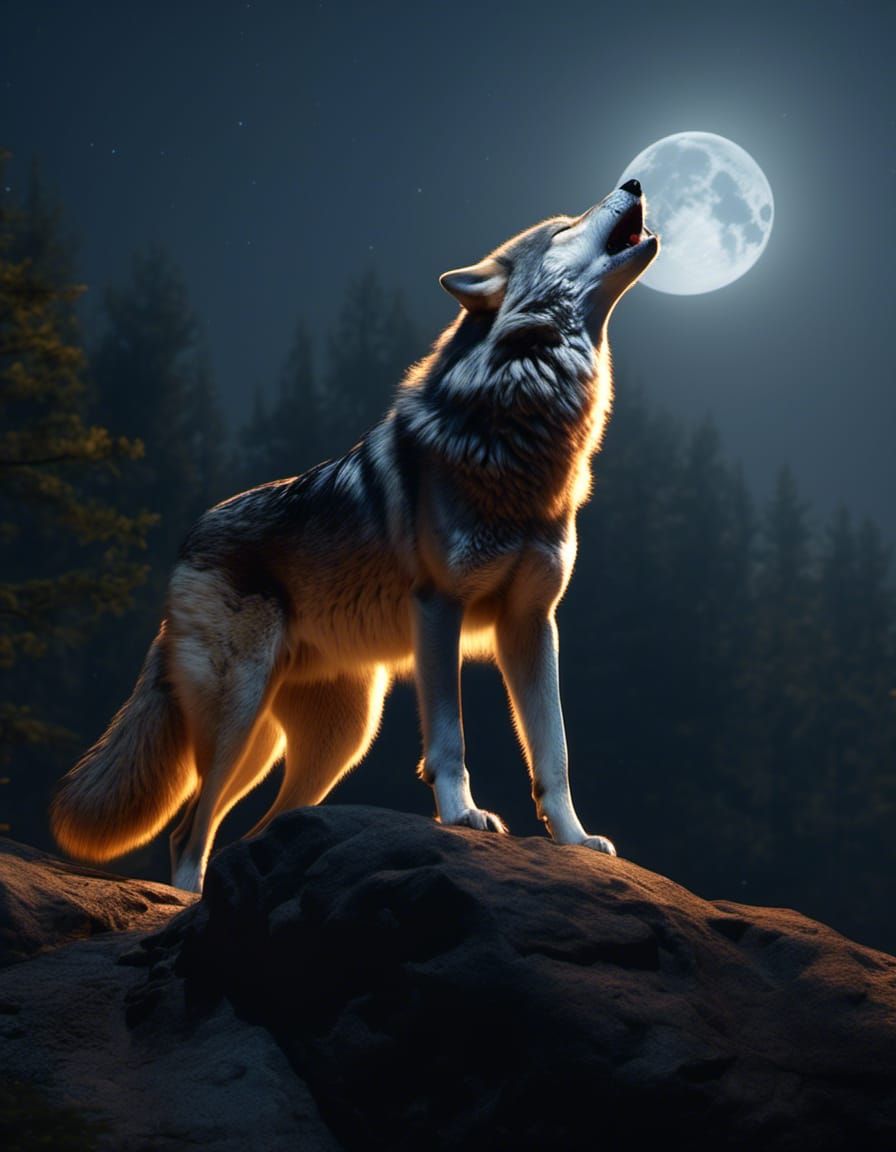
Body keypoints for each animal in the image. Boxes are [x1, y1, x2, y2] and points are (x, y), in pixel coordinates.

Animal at [51, 179, 659, 892]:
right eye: (566, 225)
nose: (634, 182)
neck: (522, 418)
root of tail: (188, 544)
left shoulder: (532, 622)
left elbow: (553, 752)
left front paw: (574, 842)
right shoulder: (440, 608)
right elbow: (449, 739)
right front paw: (464, 816)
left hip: (331, 740)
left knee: (252, 829)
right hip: (240, 721)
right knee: (188, 829)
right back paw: (187, 901)